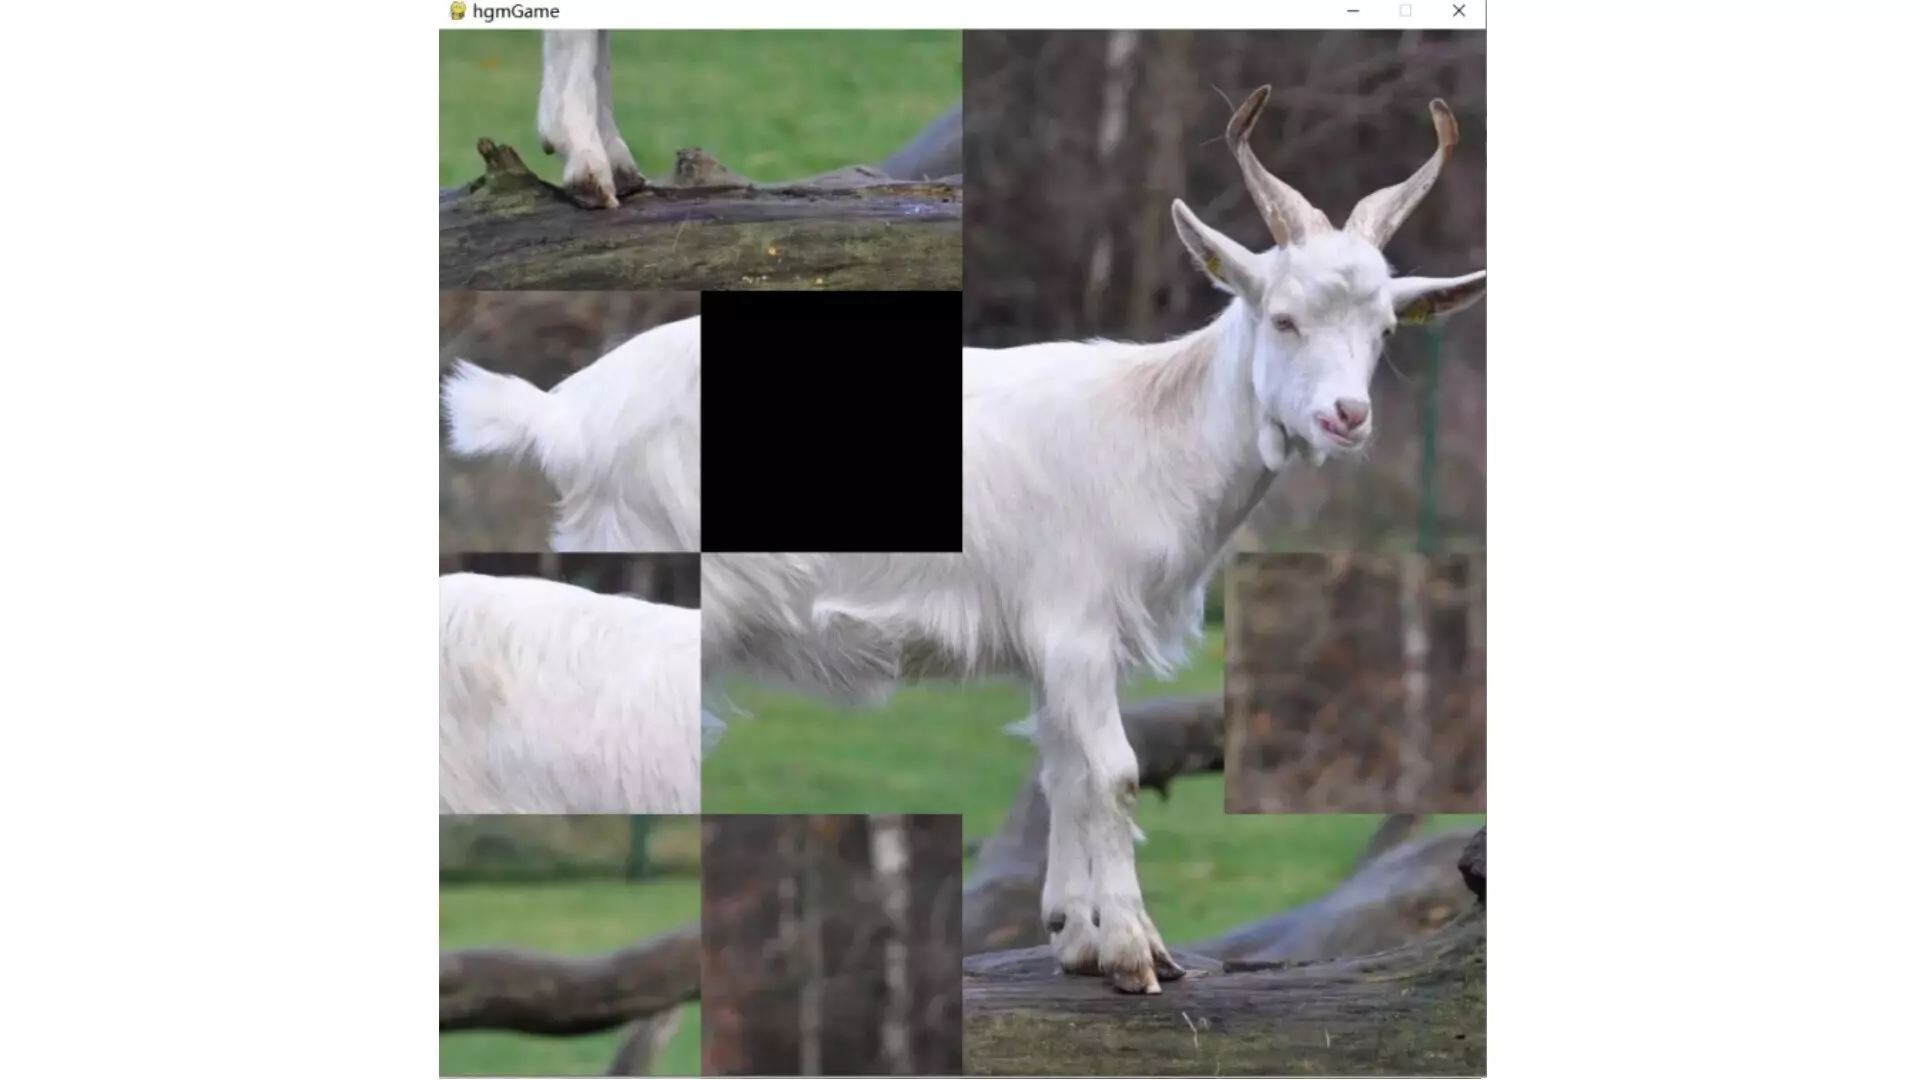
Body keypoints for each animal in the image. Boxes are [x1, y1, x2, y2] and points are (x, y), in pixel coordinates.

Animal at [702, 87, 1487, 994]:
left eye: (1387, 330)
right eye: (1284, 319)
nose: (1346, 417)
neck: (1150, 428)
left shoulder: (1059, 642)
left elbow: (1063, 770)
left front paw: (1073, 934)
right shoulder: (1074, 621)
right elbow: (1113, 773)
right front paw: (1135, 954)